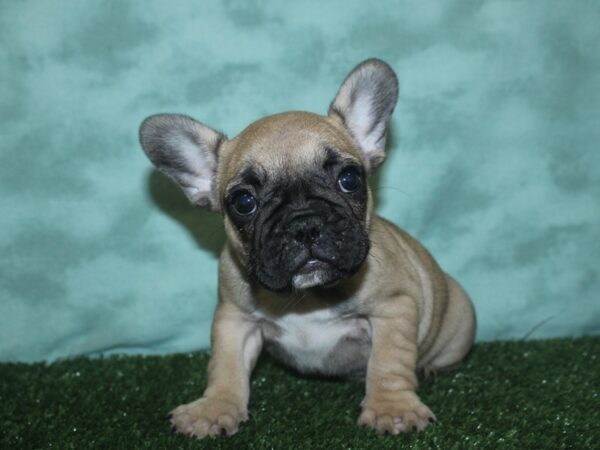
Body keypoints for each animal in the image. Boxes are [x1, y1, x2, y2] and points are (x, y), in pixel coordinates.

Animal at [138, 58, 476, 438]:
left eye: (349, 179)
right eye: (243, 202)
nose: (304, 224)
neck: (308, 298)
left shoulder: (394, 308)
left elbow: (389, 363)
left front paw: (392, 408)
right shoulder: (234, 319)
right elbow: (225, 366)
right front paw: (214, 409)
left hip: (460, 319)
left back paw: (430, 369)